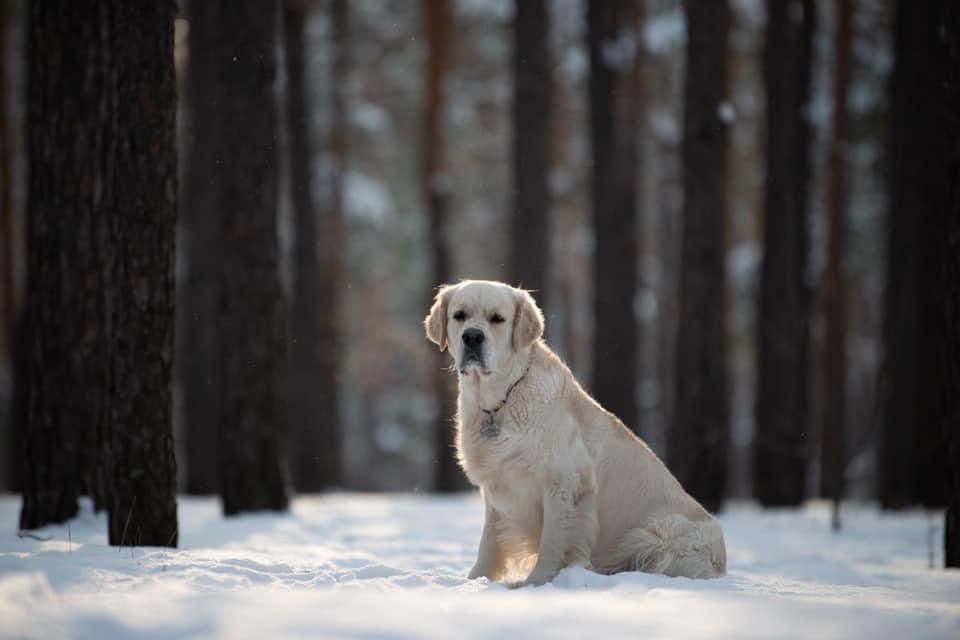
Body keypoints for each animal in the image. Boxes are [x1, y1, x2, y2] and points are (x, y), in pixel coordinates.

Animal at [424, 278, 724, 588]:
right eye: (459, 315)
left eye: (497, 319)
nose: (472, 337)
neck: (500, 402)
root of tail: (722, 564)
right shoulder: (499, 487)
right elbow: (489, 544)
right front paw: (475, 580)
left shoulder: (565, 482)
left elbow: (553, 542)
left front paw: (536, 583)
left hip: (661, 532)